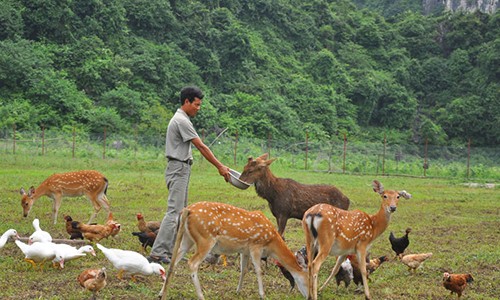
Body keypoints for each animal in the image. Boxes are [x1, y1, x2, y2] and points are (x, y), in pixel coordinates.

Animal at [159, 202, 308, 300]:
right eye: (308, 279)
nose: (310, 296)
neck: (271, 242)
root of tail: (186, 210)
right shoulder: (256, 245)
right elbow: (258, 270)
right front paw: (262, 294)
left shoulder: (244, 250)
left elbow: (244, 269)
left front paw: (238, 291)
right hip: (205, 238)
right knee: (192, 263)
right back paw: (201, 296)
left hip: (187, 239)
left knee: (174, 261)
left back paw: (161, 293)